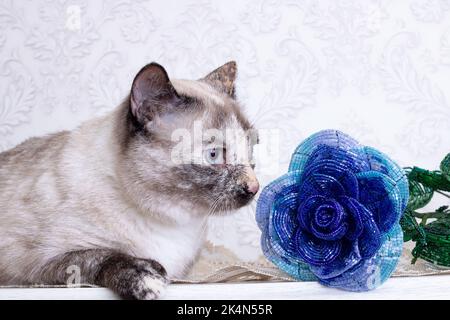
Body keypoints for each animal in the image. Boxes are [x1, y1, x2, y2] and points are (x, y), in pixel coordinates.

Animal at [0, 62, 260, 300]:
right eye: (214, 155)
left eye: (250, 151)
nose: (254, 187)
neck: (174, 222)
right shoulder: (31, 265)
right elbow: (96, 255)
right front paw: (147, 277)